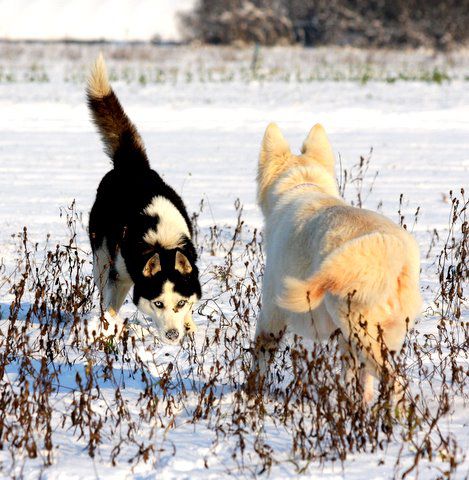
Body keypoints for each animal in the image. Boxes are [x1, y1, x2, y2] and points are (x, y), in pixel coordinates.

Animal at [87, 54, 200, 344]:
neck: (162, 242)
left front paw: (190, 327)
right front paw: (108, 328)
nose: (172, 335)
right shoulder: (119, 275)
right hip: (102, 258)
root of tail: (132, 166)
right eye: (158, 303)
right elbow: (111, 304)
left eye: (180, 303)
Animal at [252, 123, 420, 402]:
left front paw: (249, 396)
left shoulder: (271, 313)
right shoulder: (344, 343)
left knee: (394, 382)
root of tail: (391, 247)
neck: (303, 184)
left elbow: (259, 361)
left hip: (360, 331)